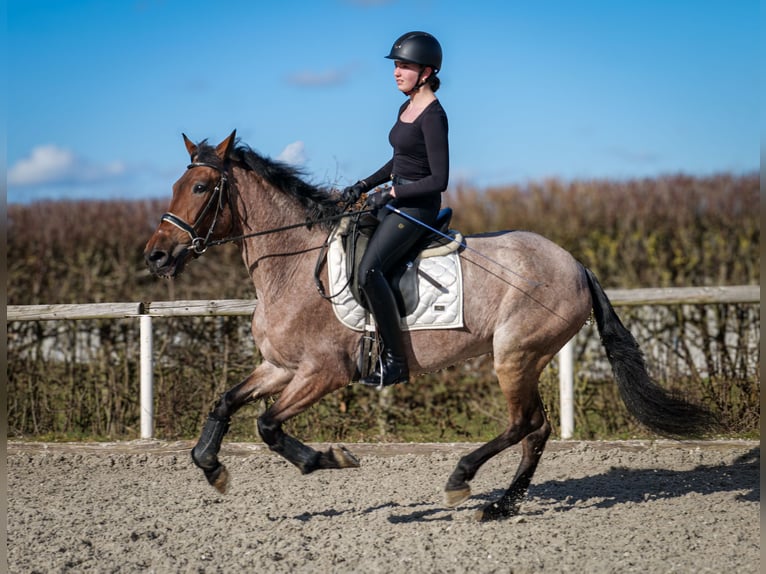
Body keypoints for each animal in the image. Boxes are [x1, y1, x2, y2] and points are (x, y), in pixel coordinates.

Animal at [146, 133, 720, 524]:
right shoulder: (279, 367)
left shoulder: (323, 373)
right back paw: (503, 505)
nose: (156, 256)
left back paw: (462, 480)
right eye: (174, 185)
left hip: (515, 355)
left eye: (200, 186)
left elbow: (267, 426)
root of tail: (576, 263)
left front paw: (329, 458)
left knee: (524, 424)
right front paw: (211, 467)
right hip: (523, 358)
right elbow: (225, 403)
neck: (294, 264)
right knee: (537, 430)